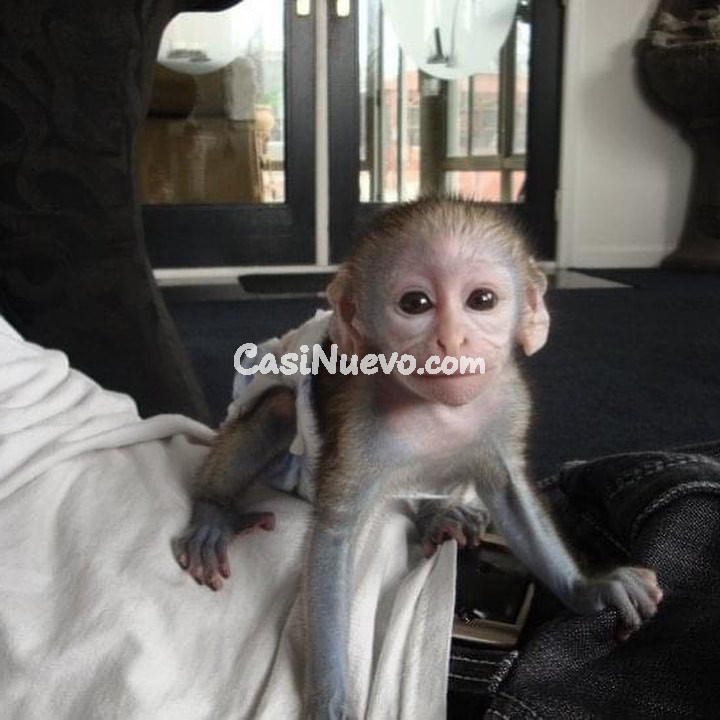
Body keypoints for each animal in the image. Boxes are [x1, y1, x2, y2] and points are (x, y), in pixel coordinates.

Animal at [176, 197, 663, 720]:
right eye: (416, 304)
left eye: (482, 300)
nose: (452, 340)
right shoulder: (361, 420)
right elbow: (333, 540)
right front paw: (331, 700)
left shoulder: (508, 400)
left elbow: (511, 495)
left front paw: (589, 589)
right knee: (280, 408)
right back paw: (213, 515)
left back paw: (440, 515)